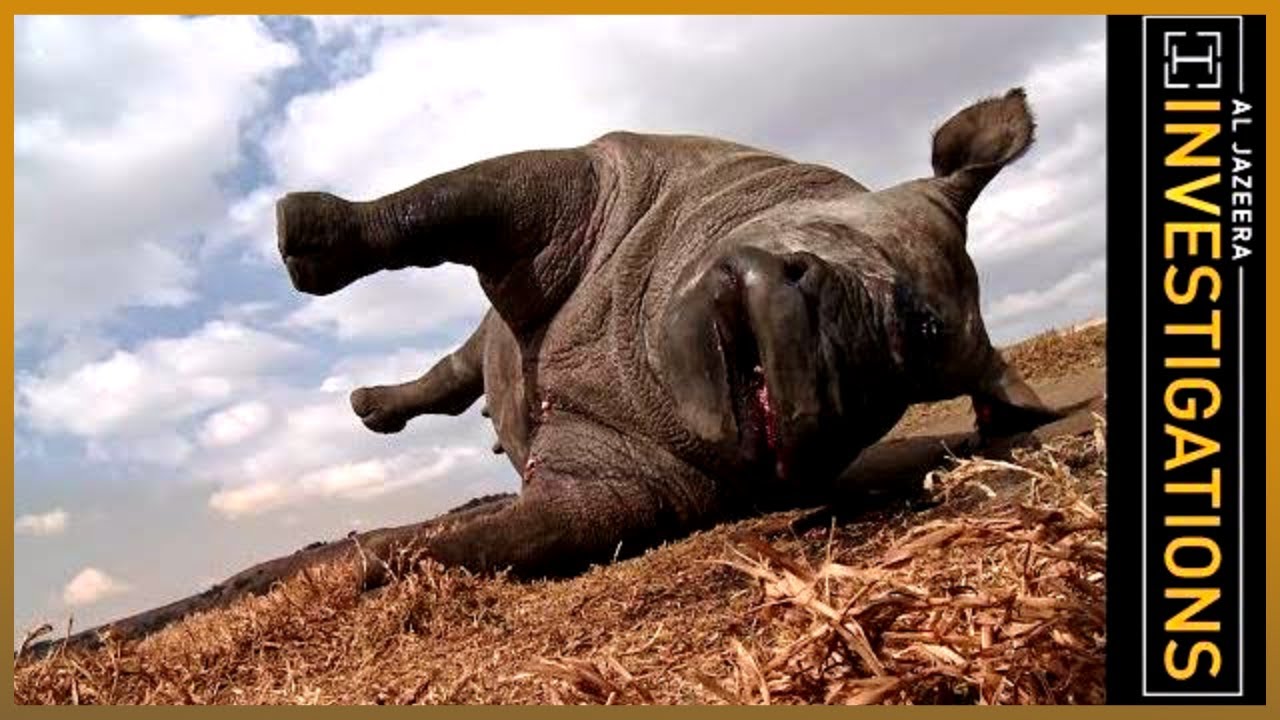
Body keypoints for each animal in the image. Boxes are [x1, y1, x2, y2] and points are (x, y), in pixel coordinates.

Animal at [276, 87, 1058, 577]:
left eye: (899, 381)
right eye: (910, 315)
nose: (824, 378)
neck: (637, 350)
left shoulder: (626, 485)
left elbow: (508, 539)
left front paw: (367, 568)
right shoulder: (598, 180)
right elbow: (454, 198)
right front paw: (297, 237)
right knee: (462, 360)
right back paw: (364, 402)